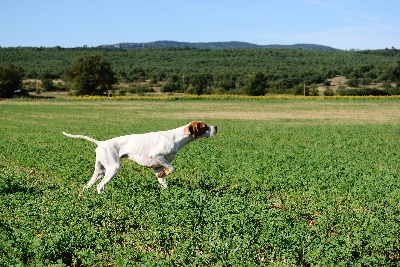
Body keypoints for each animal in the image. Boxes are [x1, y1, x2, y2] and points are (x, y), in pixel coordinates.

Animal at [62, 122, 217, 195]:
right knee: (100, 186)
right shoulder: (157, 155)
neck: (177, 137)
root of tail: (101, 143)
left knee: (87, 186)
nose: (216, 127)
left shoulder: (157, 166)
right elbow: (172, 168)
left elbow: (164, 182)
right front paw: (166, 173)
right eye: (205, 126)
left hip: (100, 171)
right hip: (113, 169)